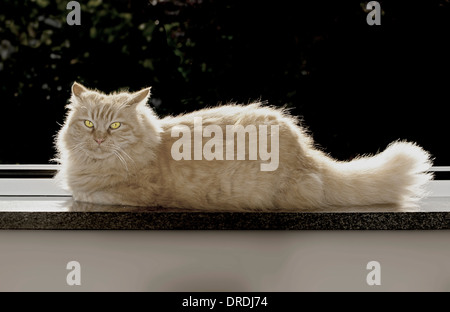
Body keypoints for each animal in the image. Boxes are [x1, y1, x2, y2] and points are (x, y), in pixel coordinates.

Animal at [54, 81, 434, 211]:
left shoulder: (135, 194)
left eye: (115, 126)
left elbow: (85, 193)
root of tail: (310, 157)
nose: (99, 138)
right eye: (88, 124)